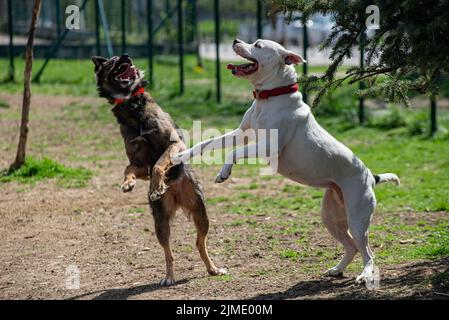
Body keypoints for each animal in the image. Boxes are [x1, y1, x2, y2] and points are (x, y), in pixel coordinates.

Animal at [91, 54, 226, 284]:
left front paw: (156, 187)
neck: (132, 105)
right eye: (114, 60)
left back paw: (213, 269)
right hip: (160, 222)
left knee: (200, 243)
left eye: (123, 57)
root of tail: (178, 197)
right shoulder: (139, 163)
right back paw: (169, 277)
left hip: (201, 213)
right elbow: (129, 168)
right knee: (168, 252)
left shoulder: (174, 144)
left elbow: (159, 164)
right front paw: (128, 183)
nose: (126, 56)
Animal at [172, 39, 400, 282]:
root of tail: (371, 177)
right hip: (331, 217)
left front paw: (224, 173)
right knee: (352, 247)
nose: (235, 40)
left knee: (368, 252)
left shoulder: (268, 147)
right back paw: (337, 270)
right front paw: (180, 156)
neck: (270, 97)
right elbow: (208, 143)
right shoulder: (240, 134)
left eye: (257, 45)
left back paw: (365, 275)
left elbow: (233, 153)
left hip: (357, 218)